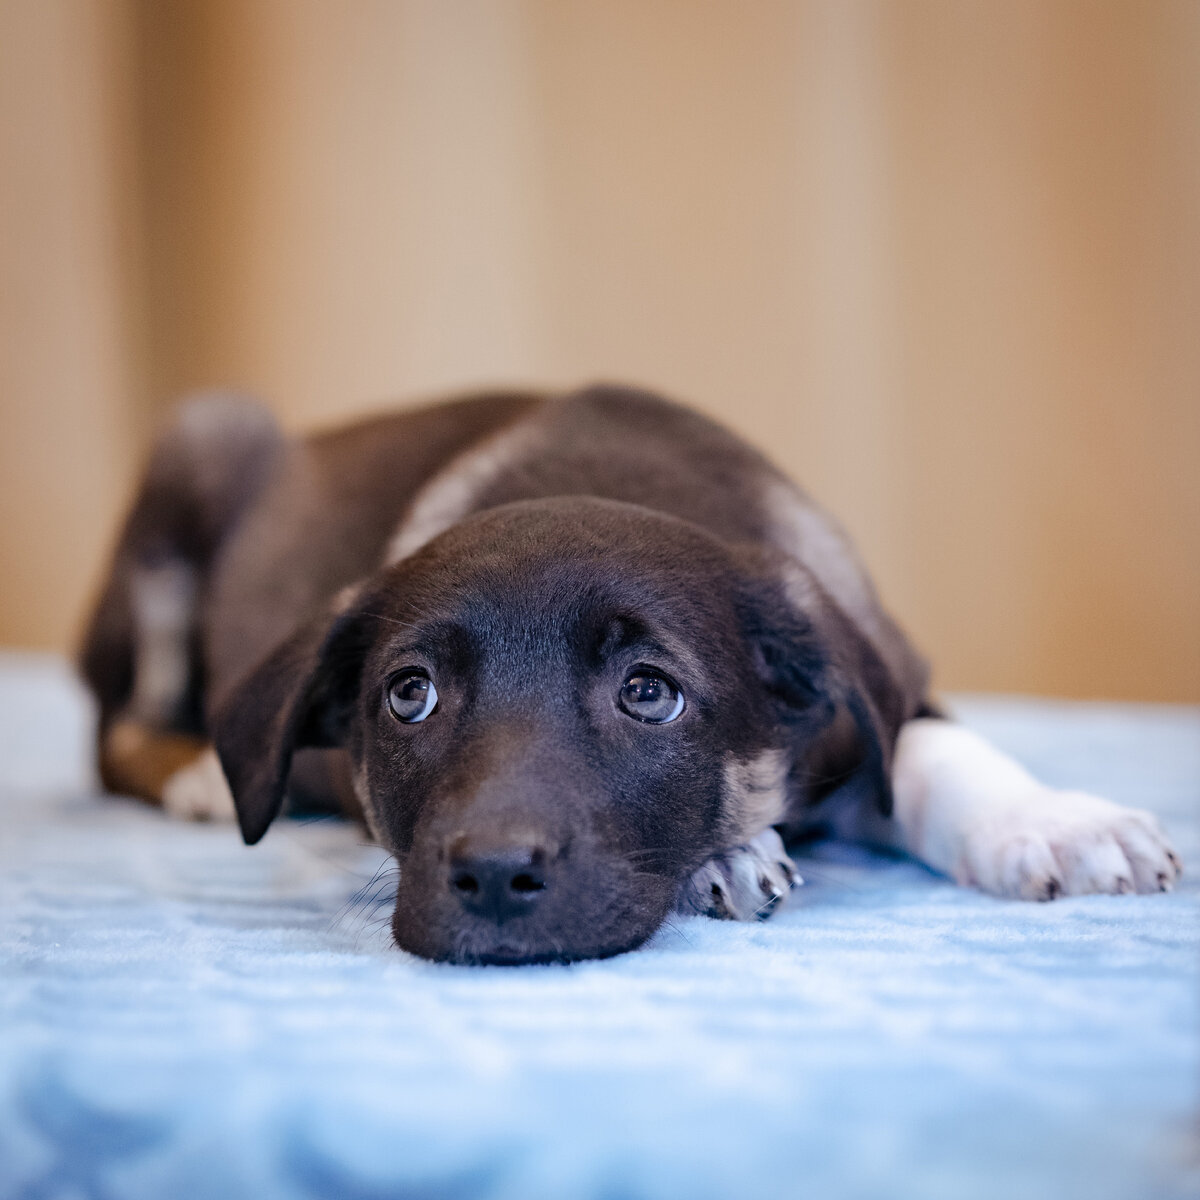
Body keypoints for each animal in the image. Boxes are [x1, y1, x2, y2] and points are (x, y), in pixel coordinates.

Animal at [80, 384, 1182, 963]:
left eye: (650, 693)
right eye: (409, 696)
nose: (493, 878)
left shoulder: (875, 686)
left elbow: (932, 749)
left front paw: (1054, 822)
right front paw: (728, 856)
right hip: (201, 445)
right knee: (115, 732)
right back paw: (191, 776)